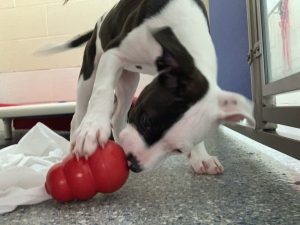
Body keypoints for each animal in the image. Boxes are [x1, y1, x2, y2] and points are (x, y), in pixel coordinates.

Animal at [45, 0, 254, 174]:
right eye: (146, 121)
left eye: (178, 149)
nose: (132, 163)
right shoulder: (114, 54)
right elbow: (103, 90)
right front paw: (93, 129)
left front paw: (201, 157)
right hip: (89, 74)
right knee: (80, 111)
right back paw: (76, 139)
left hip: (128, 82)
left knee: (118, 116)